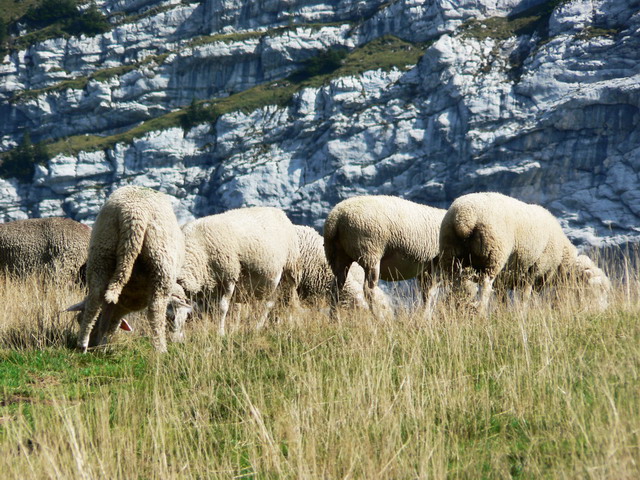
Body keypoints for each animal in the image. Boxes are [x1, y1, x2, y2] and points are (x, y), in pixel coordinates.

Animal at [72, 186, 189, 353]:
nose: (94, 345)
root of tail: (133, 213)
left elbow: (107, 319)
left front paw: (102, 343)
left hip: (102, 250)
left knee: (94, 299)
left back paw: (82, 344)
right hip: (160, 263)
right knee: (156, 308)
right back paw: (161, 349)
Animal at [178, 206, 301, 335]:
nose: (176, 338)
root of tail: (279, 211)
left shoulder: (229, 276)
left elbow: (222, 307)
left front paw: (220, 333)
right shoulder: (208, 286)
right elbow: (209, 310)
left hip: (290, 270)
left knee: (283, 302)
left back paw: (279, 326)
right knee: (271, 303)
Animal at [438, 192, 611, 311]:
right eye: (598, 289)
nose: (604, 311)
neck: (563, 259)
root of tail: (464, 218)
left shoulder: (506, 280)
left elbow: (502, 299)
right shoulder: (534, 271)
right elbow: (527, 297)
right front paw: (524, 312)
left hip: (450, 254)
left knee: (455, 286)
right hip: (493, 255)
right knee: (485, 287)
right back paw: (480, 311)